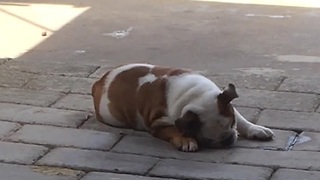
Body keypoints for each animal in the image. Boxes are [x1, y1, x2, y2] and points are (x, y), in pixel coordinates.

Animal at [91, 63, 274, 152]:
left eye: (232, 124)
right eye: (207, 140)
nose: (228, 139)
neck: (194, 95)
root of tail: (100, 81)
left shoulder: (224, 101)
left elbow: (242, 119)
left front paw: (256, 129)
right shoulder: (158, 124)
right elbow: (174, 129)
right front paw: (187, 141)